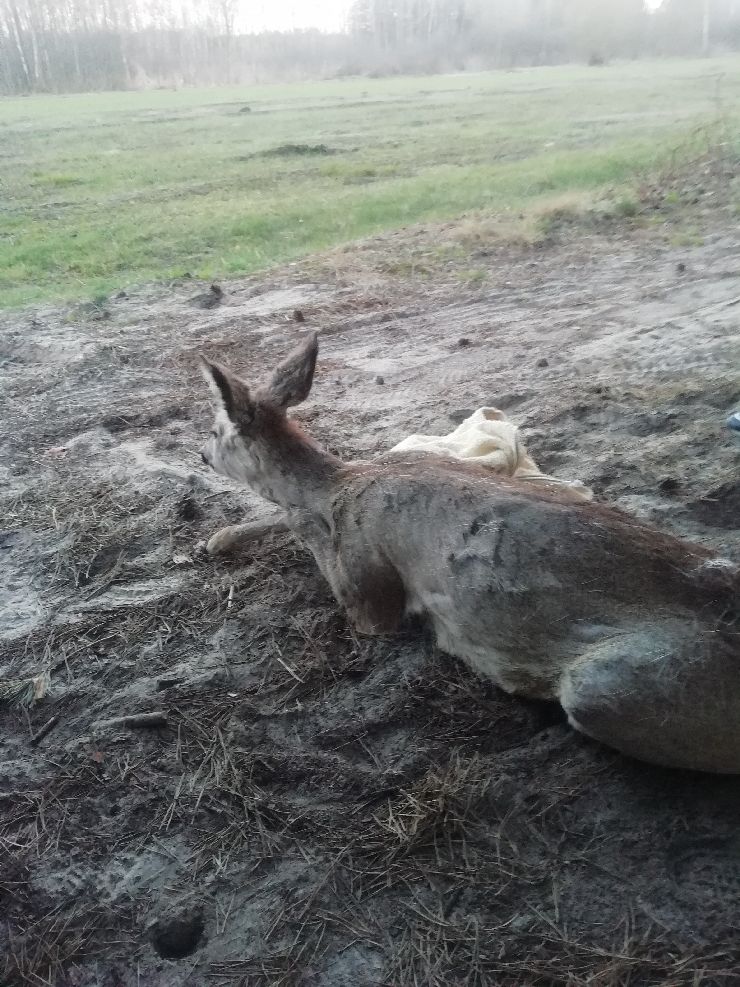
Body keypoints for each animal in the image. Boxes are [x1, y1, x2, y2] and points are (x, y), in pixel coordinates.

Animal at [198, 336, 740, 776]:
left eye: (216, 431)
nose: (201, 455)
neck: (338, 484)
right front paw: (219, 537)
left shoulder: (368, 589)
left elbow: (311, 539)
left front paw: (233, 533)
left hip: (605, 688)